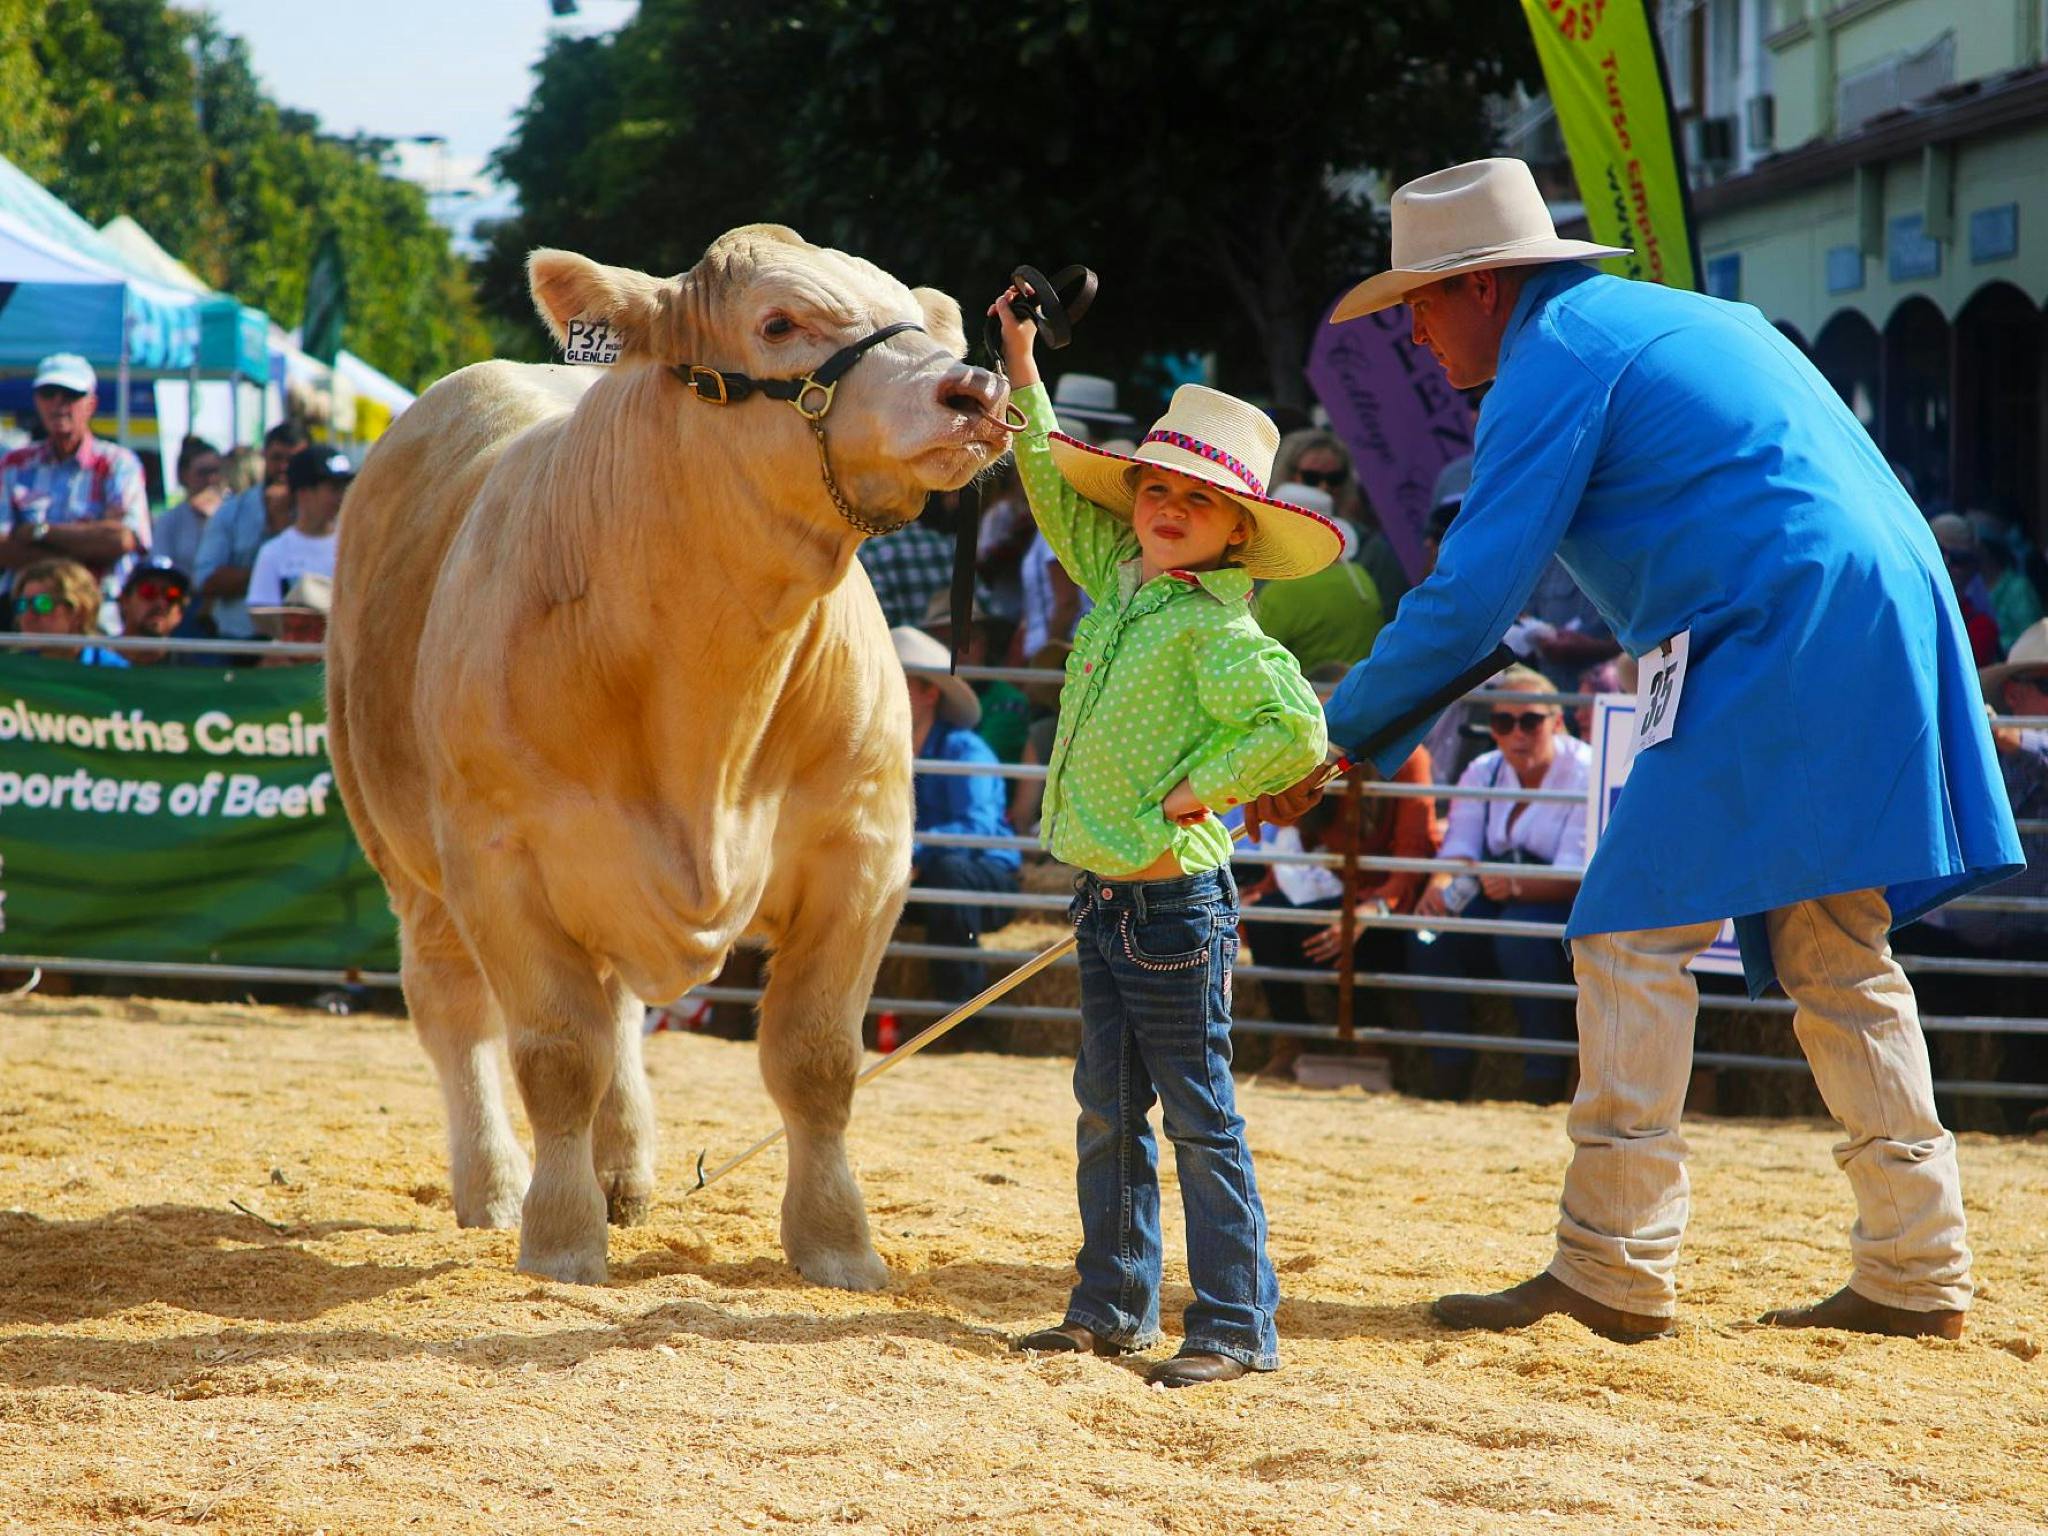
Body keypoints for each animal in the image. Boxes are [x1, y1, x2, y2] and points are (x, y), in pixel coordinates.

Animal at [326, 226, 1012, 1286]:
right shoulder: (498, 862)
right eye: (779, 322)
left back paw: (625, 1174)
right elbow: (554, 1055)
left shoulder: (867, 852)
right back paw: (494, 1187)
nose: (974, 389)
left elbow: (815, 1060)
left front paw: (837, 1246)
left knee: (618, 1017)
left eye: (924, 319)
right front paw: (560, 1240)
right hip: (404, 856)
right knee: (456, 1013)